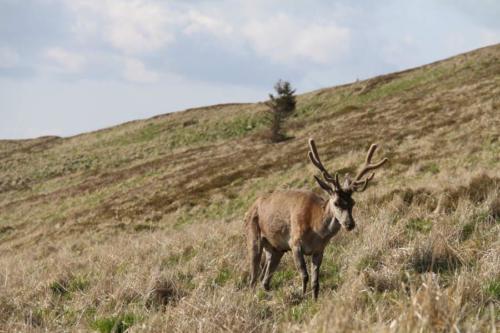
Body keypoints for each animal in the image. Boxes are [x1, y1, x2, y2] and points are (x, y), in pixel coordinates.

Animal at [244, 137, 388, 298]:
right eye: (336, 202)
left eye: (353, 202)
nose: (350, 224)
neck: (316, 230)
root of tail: (249, 209)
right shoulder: (294, 243)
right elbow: (304, 275)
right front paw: (302, 296)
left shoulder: (319, 250)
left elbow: (315, 281)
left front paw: (314, 299)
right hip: (253, 238)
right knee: (253, 278)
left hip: (276, 249)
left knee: (264, 279)